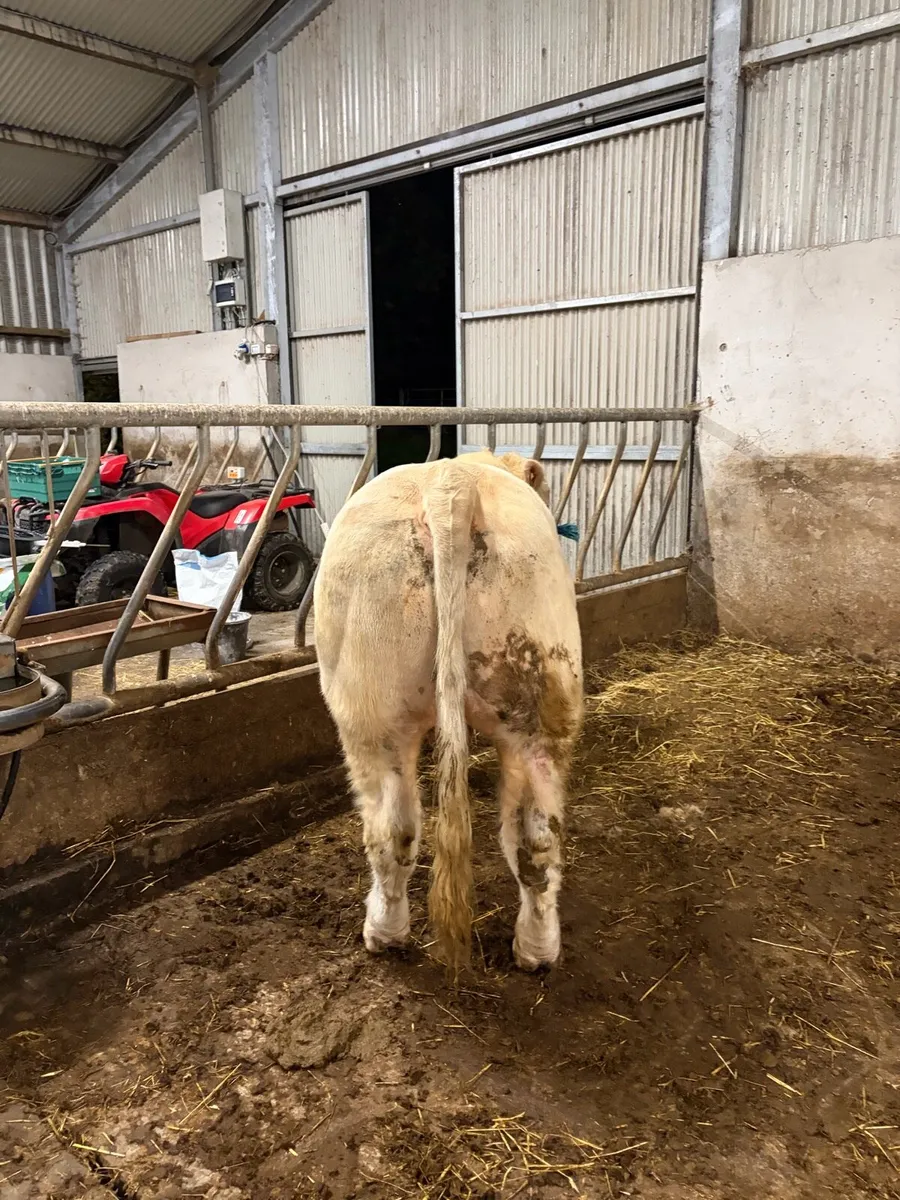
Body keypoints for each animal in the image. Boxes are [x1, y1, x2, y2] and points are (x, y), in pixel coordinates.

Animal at [313, 450, 583, 971]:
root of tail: (449, 481)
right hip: (535, 704)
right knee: (534, 841)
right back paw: (536, 952)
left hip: (370, 714)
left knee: (393, 829)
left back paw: (385, 934)